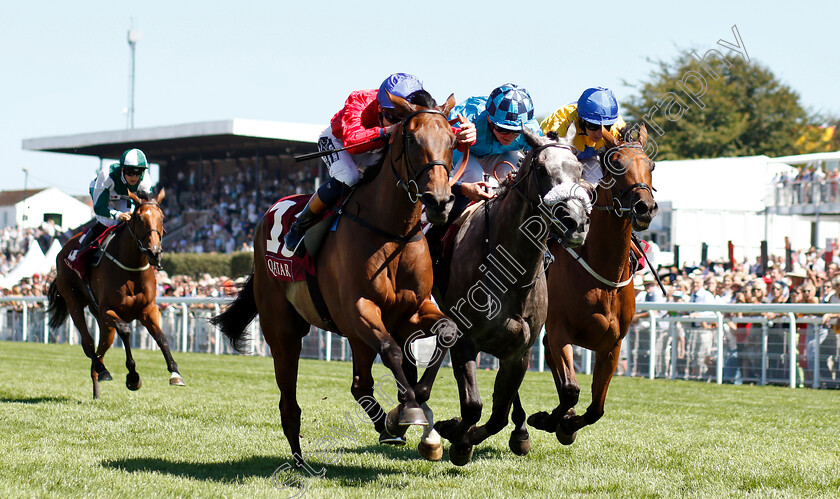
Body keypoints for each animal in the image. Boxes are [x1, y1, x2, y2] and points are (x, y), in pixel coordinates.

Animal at [47, 189, 184, 400]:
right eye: (139, 218)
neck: (131, 269)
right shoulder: (108, 310)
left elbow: (161, 337)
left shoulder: (148, 309)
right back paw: (103, 370)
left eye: (162, 217)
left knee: (101, 347)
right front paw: (133, 376)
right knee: (88, 343)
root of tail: (63, 249)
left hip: (102, 321)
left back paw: (97, 385)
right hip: (74, 302)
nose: (154, 252)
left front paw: (175, 373)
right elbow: (126, 331)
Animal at [430, 124, 592, 464]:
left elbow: (498, 415)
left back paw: (520, 432)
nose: (575, 222)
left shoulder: (521, 350)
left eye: (580, 170)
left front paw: (466, 439)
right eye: (542, 170)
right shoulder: (464, 338)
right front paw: (455, 435)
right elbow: (473, 405)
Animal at [528, 125, 660, 446]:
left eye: (651, 165)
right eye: (617, 163)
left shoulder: (612, 344)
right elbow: (570, 390)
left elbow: (596, 408)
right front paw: (548, 419)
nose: (645, 207)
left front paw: (566, 425)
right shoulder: (559, 331)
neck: (603, 270)